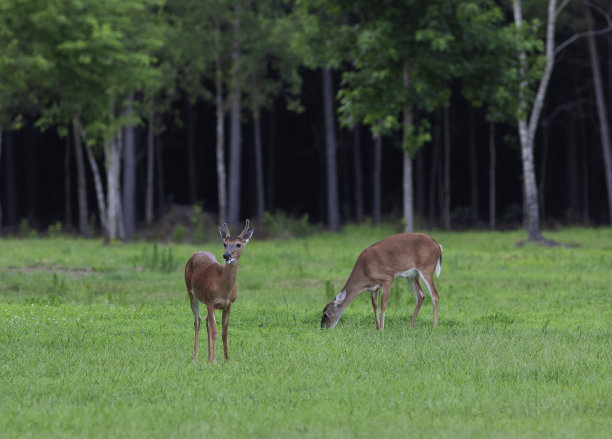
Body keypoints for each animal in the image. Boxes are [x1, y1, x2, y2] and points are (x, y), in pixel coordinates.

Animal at [185, 220, 255, 364]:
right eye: (224, 244)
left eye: (238, 244)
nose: (226, 255)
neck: (223, 288)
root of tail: (196, 253)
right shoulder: (210, 301)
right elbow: (215, 331)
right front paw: (214, 360)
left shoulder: (228, 305)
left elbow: (224, 332)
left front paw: (226, 359)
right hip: (192, 294)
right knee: (197, 321)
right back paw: (195, 358)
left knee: (206, 321)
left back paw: (207, 356)